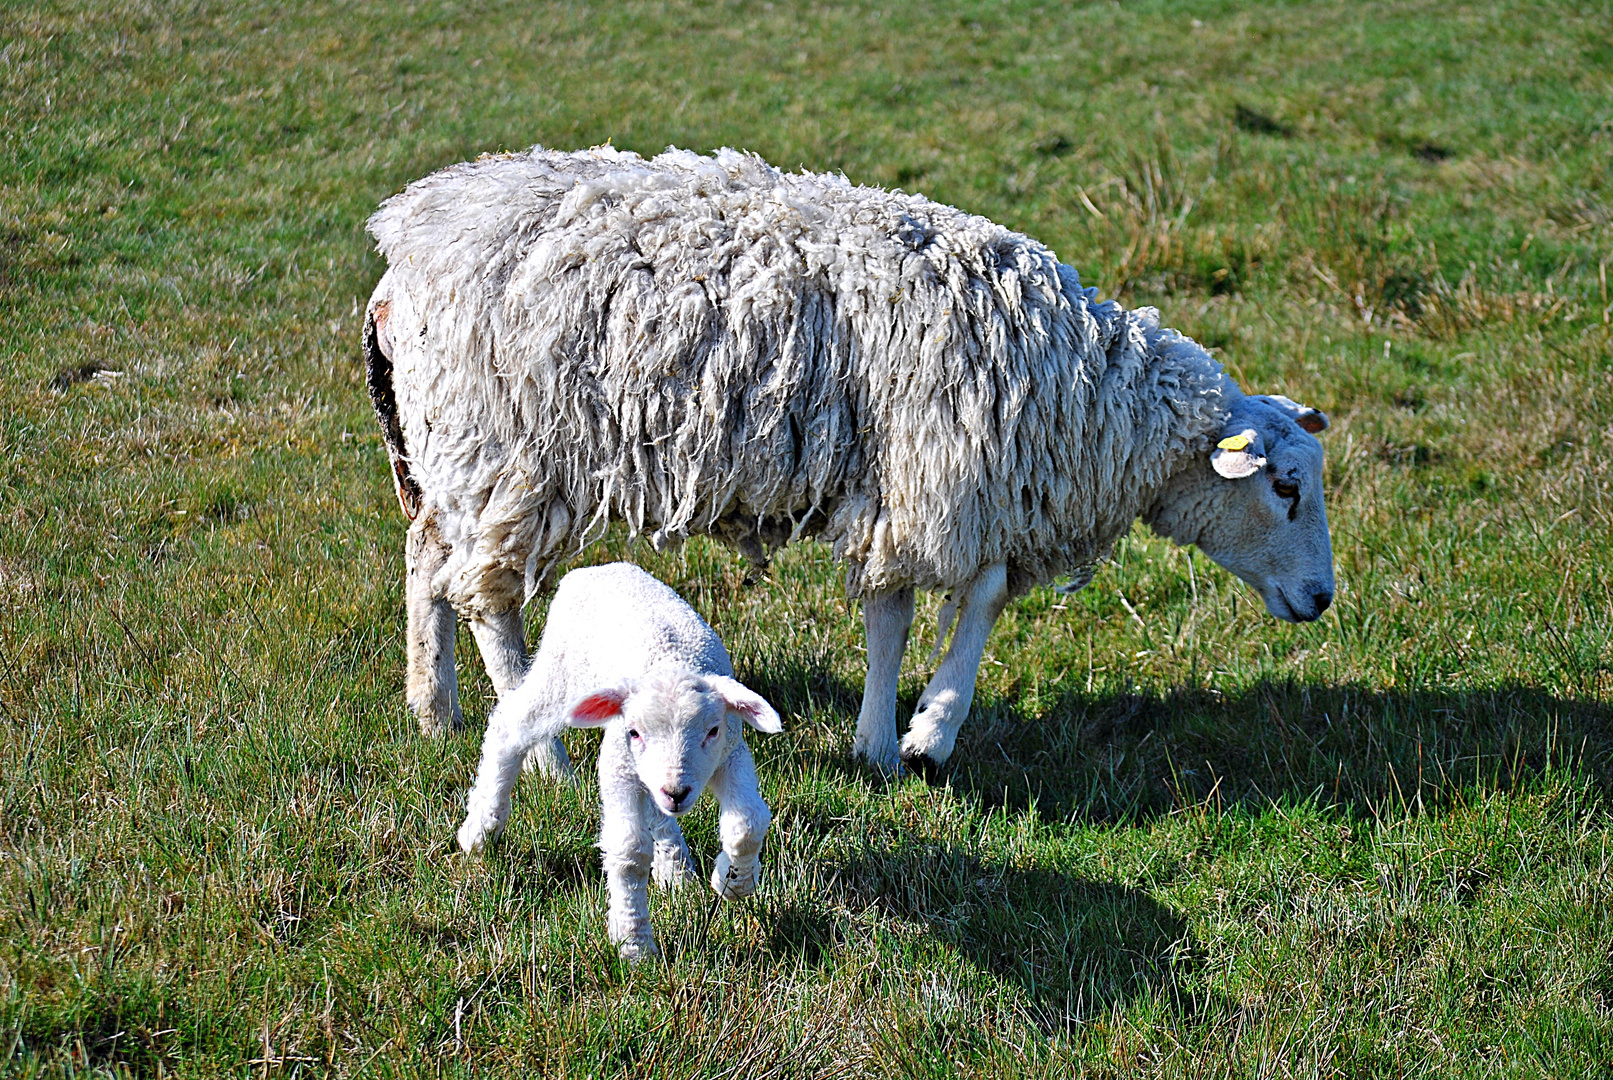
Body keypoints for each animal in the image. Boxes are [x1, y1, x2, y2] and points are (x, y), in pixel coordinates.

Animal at [366, 148, 1335, 783]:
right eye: (1284, 488)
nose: (1322, 600)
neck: (1084, 394)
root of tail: (402, 247)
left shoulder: (942, 484)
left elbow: (939, 605)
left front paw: (905, 734)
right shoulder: (933, 476)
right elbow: (926, 611)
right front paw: (909, 740)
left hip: (448, 453)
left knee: (426, 558)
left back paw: (432, 708)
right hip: (510, 453)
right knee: (487, 597)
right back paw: (547, 760)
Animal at [454, 564, 780, 960]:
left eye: (712, 730)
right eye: (634, 732)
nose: (676, 792)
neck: (671, 660)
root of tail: (593, 569)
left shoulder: (731, 753)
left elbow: (747, 824)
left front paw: (733, 882)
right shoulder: (618, 766)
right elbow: (628, 850)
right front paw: (634, 945)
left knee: (658, 811)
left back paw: (675, 871)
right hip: (561, 675)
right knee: (509, 725)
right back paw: (481, 829)